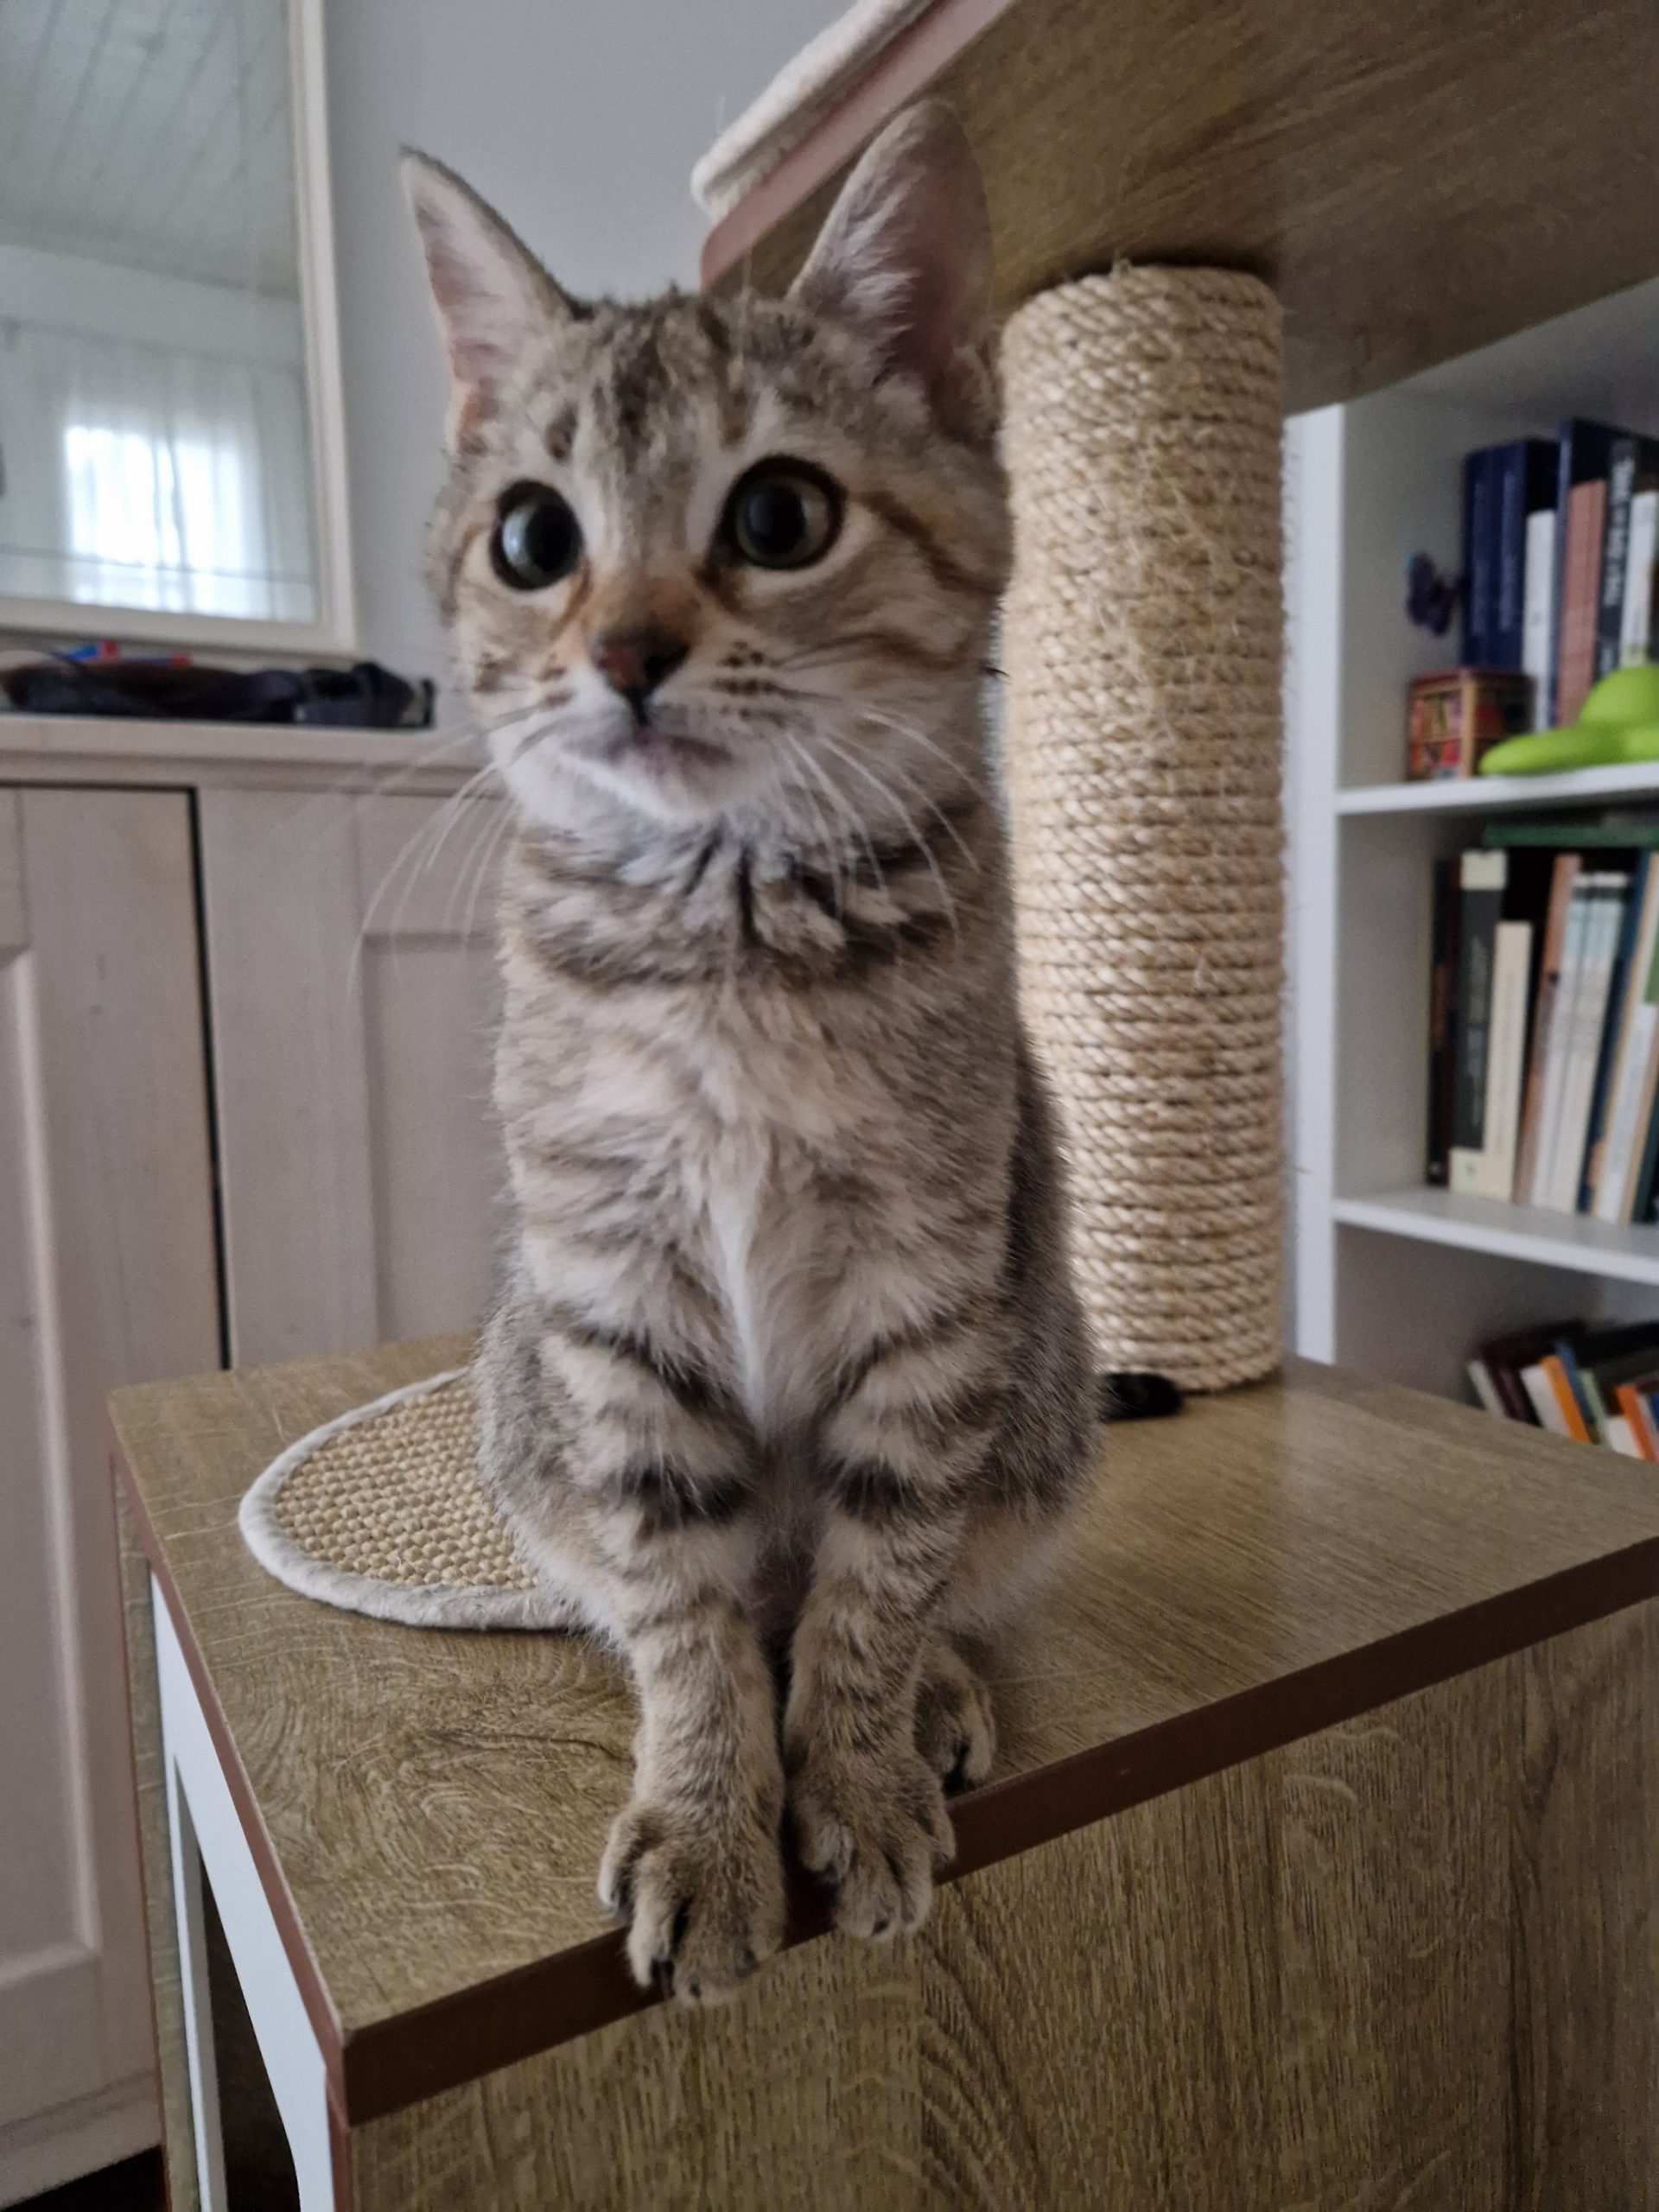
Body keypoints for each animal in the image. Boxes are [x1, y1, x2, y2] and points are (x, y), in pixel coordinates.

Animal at [404, 102, 1174, 2006]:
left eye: (779, 512)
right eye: (532, 540)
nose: (623, 648)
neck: (728, 932)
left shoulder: (934, 1282)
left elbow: (881, 1571)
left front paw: (861, 1772)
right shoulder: (612, 1288)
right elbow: (684, 1610)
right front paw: (707, 1813)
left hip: (1038, 1376)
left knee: (944, 1570)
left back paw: (933, 1696)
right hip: (529, 1399)